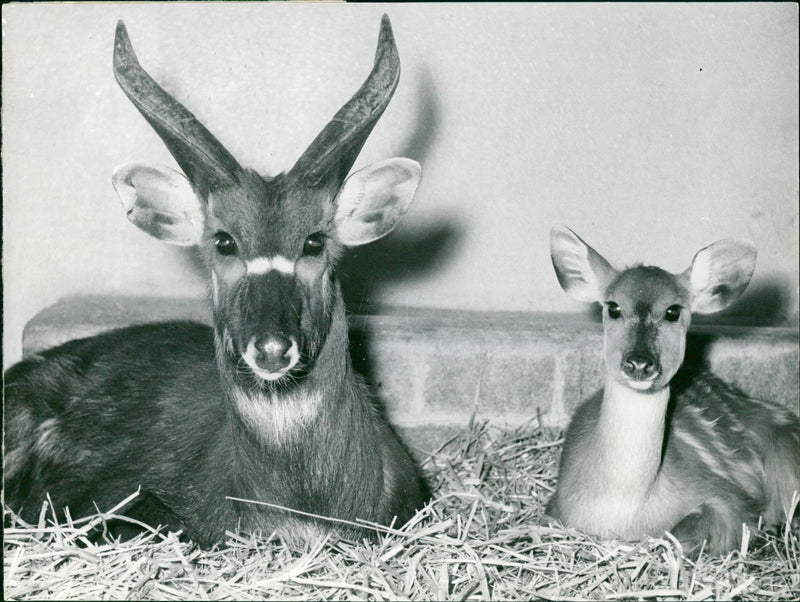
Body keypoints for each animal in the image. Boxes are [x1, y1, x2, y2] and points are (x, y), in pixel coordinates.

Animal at [548, 225, 796, 552]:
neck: (623, 510)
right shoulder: (557, 507)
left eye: (673, 311)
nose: (639, 362)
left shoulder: (731, 500)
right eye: (613, 307)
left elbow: (682, 532)